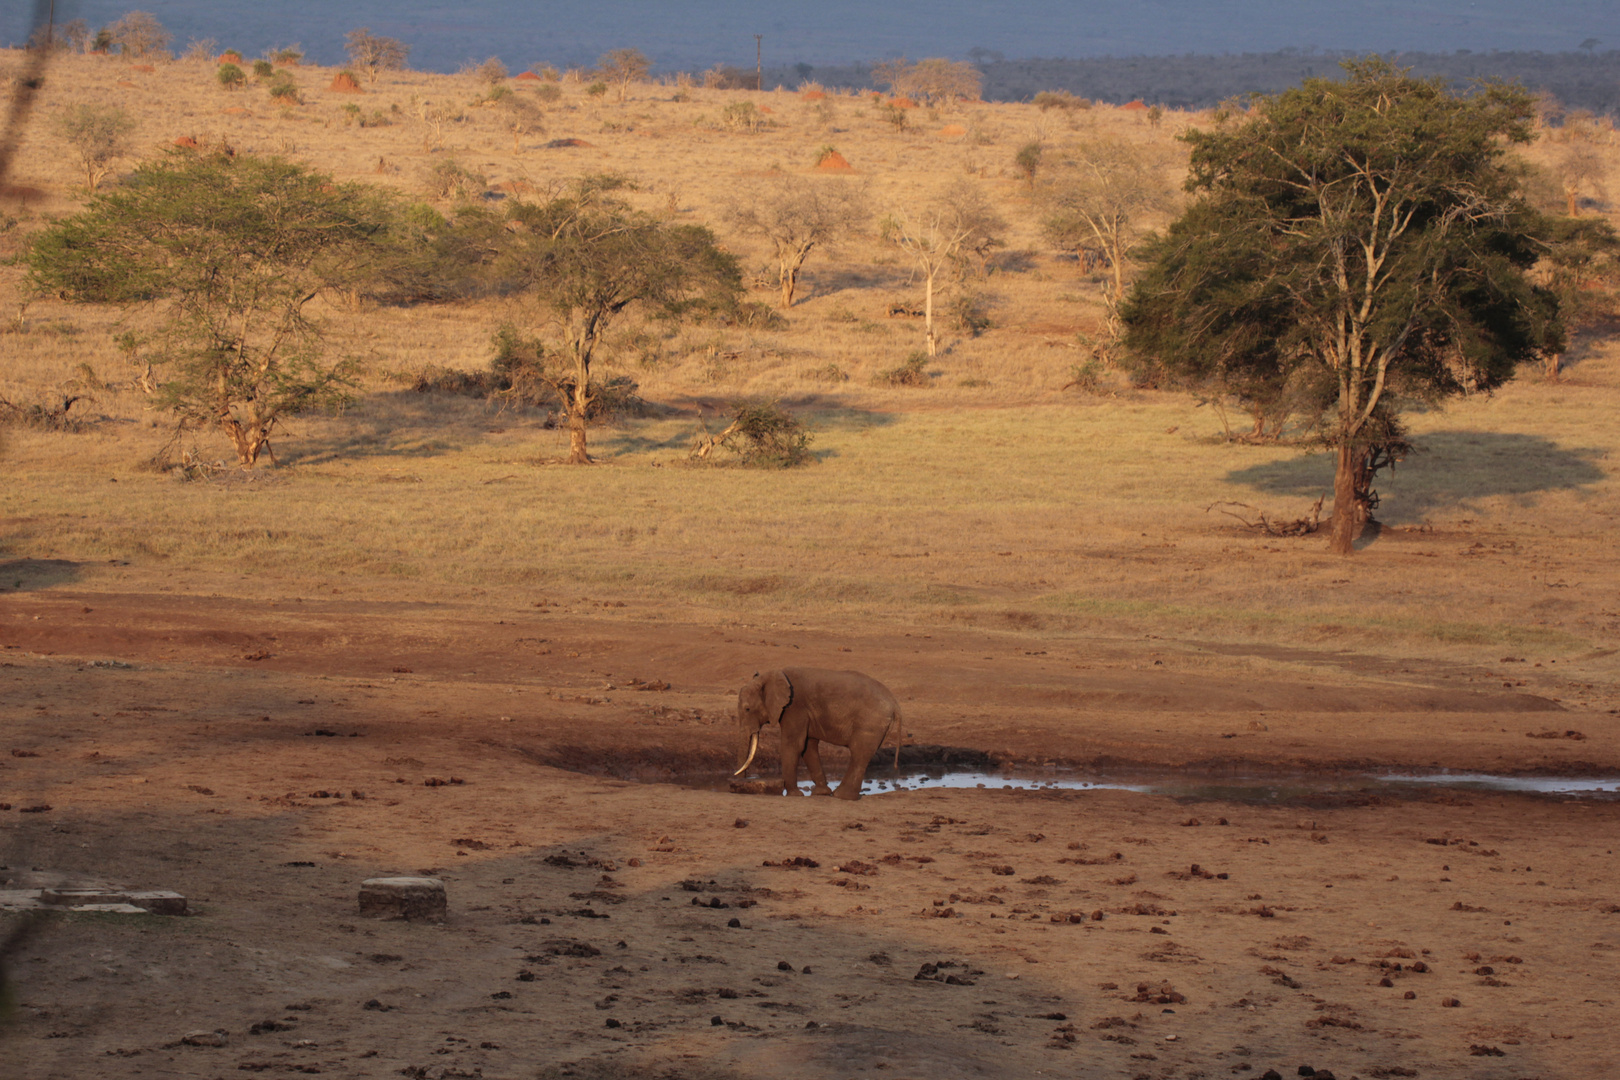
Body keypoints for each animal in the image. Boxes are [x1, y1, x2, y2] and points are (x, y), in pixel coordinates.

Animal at [732, 670, 900, 799]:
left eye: (747, 709)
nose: (738, 784)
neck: (772, 675)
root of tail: (895, 703)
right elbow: (808, 747)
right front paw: (821, 793)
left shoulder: (795, 707)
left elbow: (793, 745)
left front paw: (794, 795)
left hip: (870, 722)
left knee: (859, 754)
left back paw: (841, 796)